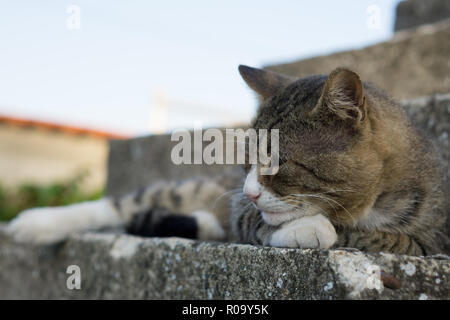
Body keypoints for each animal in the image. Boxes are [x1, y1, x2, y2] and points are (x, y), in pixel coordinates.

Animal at [5, 64, 448, 255]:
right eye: (246, 160)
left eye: (275, 162)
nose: (248, 190)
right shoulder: (239, 207)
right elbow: (260, 223)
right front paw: (309, 228)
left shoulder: (434, 241)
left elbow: (388, 238)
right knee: (126, 202)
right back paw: (34, 223)